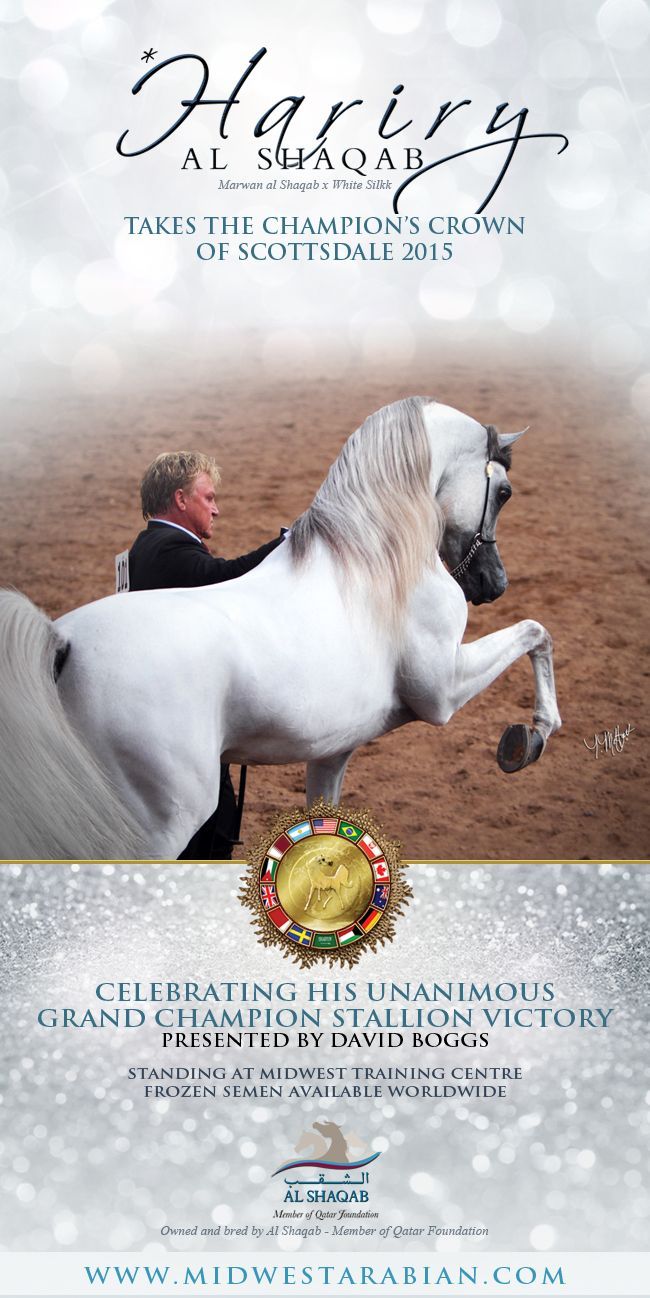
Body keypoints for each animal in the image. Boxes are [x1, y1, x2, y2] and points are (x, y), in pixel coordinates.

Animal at [0, 397, 561, 861]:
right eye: (504, 491)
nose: (494, 584)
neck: (373, 559)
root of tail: (62, 644)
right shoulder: (441, 693)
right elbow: (537, 631)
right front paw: (530, 736)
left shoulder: (334, 751)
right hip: (158, 821)